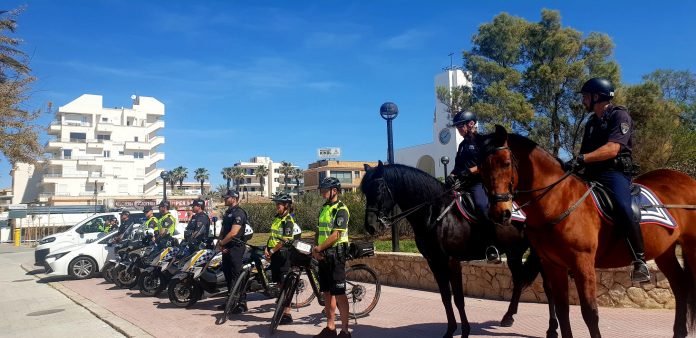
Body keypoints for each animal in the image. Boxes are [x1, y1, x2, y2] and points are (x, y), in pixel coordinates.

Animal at [362, 162, 556, 338]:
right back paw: (508, 317)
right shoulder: (434, 262)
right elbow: (445, 297)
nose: (370, 227)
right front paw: (450, 331)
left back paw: (552, 329)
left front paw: (465, 331)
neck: (437, 214)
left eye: (378, 190)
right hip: (514, 253)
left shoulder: (452, 261)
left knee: (548, 287)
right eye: (365, 192)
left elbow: (458, 298)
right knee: (518, 281)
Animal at [476, 125, 696, 336]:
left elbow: (590, 313)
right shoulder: (553, 265)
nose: (500, 213)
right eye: (481, 168)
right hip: (665, 252)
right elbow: (562, 309)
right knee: (680, 286)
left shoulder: (583, 263)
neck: (559, 200)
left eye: (506, 163)